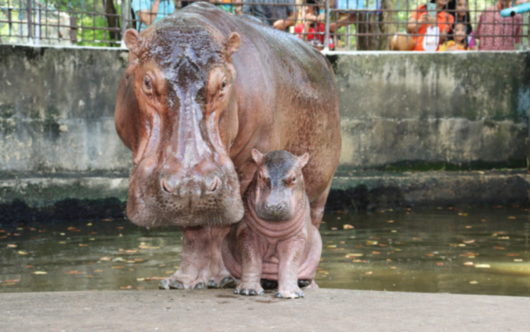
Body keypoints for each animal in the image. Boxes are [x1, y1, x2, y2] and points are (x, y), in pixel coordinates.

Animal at [221, 150, 320, 298]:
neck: (274, 229)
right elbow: (251, 261)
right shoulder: (247, 233)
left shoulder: (296, 238)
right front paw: (248, 290)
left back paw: (300, 282)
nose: (274, 206)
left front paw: (291, 294)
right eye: (260, 175)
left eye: (294, 178)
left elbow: (290, 263)